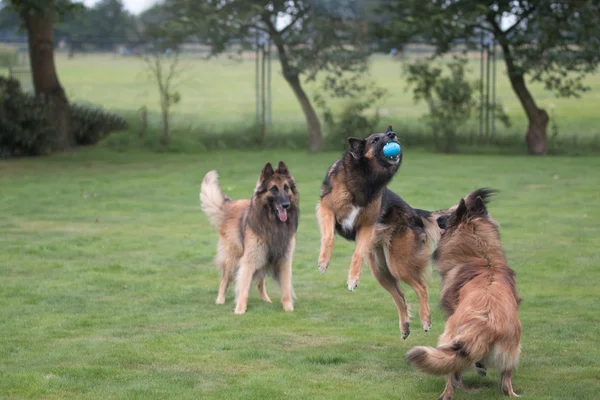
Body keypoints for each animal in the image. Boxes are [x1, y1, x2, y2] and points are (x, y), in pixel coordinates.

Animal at [200, 161, 298, 314]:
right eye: (273, 189)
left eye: (286, 188)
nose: (286, 205)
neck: (272, 222)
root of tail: (231, 205)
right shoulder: (249, 260)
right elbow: (244, 286)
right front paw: (240, 309)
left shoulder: (284, 261)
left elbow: (286, 288)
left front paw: (288, 309)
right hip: (233, 258)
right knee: (224, 280)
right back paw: (220, 300)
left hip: (262, 259)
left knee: (260, 282)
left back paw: (266, 299)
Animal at [406, 191, 524, 400]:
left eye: (449, 215)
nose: (436, 219)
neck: (482, 256)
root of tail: (485, 322)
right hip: (512, 351)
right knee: (506, 383)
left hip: (448, 337)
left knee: (451, 374)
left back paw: (447, 392)